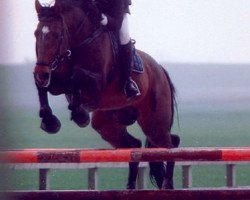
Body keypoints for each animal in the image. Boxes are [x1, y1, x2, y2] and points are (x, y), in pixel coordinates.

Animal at [33, 0, 180, 189]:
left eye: (58, 35)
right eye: (36, 34)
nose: (41, 73)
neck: (78, 43)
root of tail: (161, 70)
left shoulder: (96, 83)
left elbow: (76, 77)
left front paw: (79, 114)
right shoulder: (56, 81)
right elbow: (43, 86)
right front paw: (49, 120)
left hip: (154, 122)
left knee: (170, 144)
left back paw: (167, 185)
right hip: (106, 123)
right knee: (135, 146)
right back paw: (130, 188)